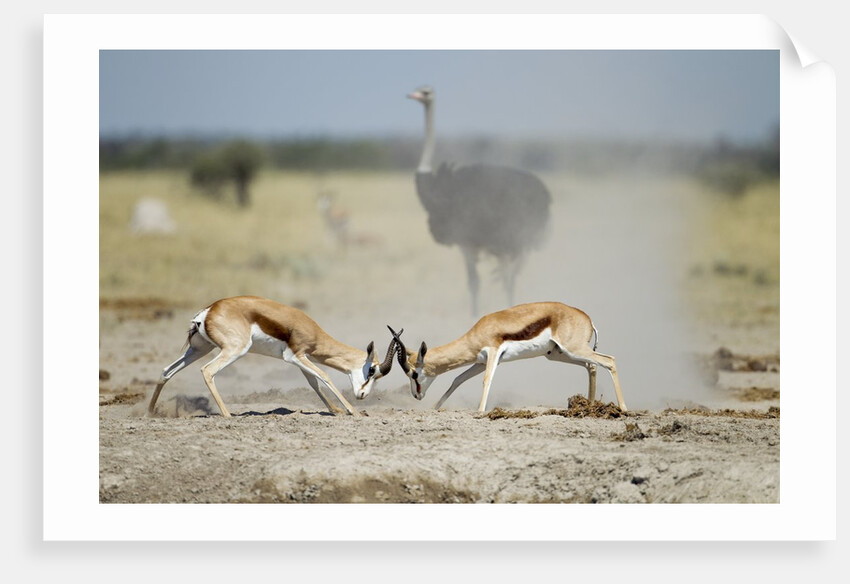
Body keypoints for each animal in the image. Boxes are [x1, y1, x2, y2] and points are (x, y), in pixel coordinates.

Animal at [148, 296, 400, 418]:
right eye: (372, 370)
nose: (363, 395)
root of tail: (207, 312)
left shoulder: (300, 359)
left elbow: (314, 383)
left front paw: (335, 410)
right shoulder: (296, 356)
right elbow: (324, 376)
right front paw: (351, 411)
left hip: (200, 349)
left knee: (166, 371)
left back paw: (150, 413)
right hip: (234, 350)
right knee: (207, 371)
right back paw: (228, 415)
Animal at [389, 302, 627, 413]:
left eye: (413, 373)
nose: (416, 395)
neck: (479, 331)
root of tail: (586, 317)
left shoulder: (493, 354)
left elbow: (487, 380)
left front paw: (480, 411)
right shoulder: (479, 361)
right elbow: (458, 379)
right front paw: (435, 407)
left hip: (572, 349)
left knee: (609, 360)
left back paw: (623, 409)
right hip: (559, 354)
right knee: (592, 366)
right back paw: (589, 406)